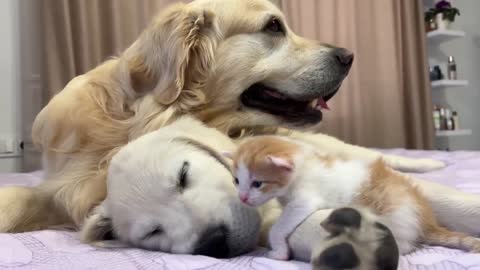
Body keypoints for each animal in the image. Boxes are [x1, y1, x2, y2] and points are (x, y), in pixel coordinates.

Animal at [227, 136, 480, 260]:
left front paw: (278, 252)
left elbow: (278, 227)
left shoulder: (304, 200)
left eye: (258, 183)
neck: (301, 168)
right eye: (237, 181)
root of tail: (427, 222)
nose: (243, 198)